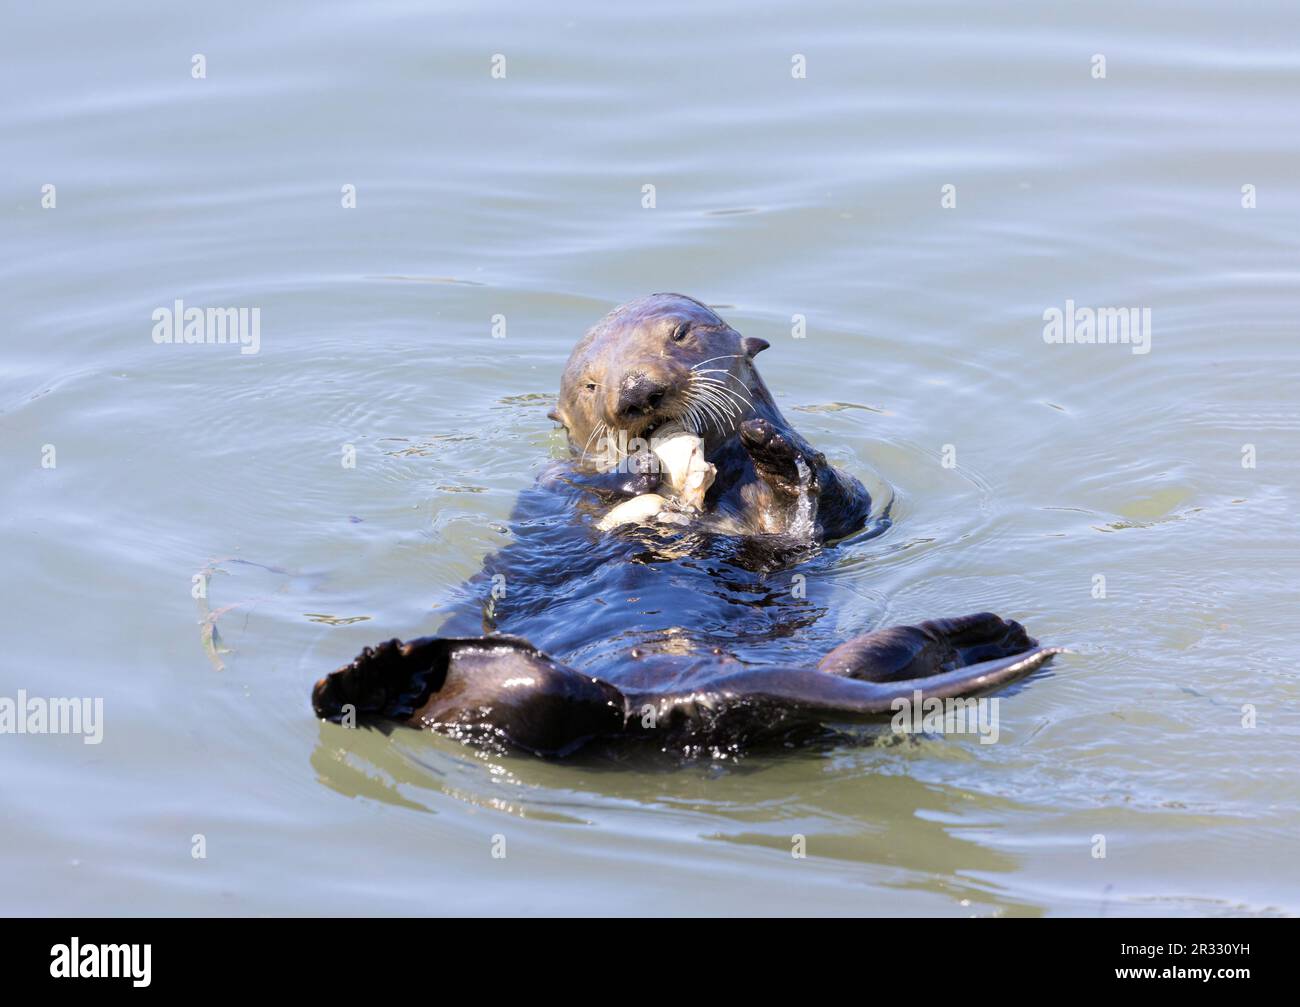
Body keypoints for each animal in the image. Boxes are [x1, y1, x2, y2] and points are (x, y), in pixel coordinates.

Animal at [312, 294, 1060, 756]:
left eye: (679, 334)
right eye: (590, 384)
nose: (636, 393)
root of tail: (669, 701)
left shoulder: (838, 508)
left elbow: (812, 513)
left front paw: (770, 448)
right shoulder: (552, 493)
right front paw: (635, 474)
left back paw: (985, 635)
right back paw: (370, 676)